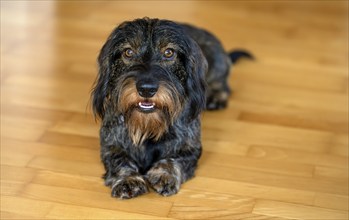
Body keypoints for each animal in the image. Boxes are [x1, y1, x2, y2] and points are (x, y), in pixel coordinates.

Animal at [91, 17, 251, 199]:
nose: (146, 89)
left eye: (169, 52)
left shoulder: (190, 149)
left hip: (217, 66)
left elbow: (173, 159)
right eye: (128, 52)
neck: (148, 124)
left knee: (222, 85)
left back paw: (216, 97)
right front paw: (128, 179)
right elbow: (120, 160)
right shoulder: (110, 146)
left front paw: (165, 175)